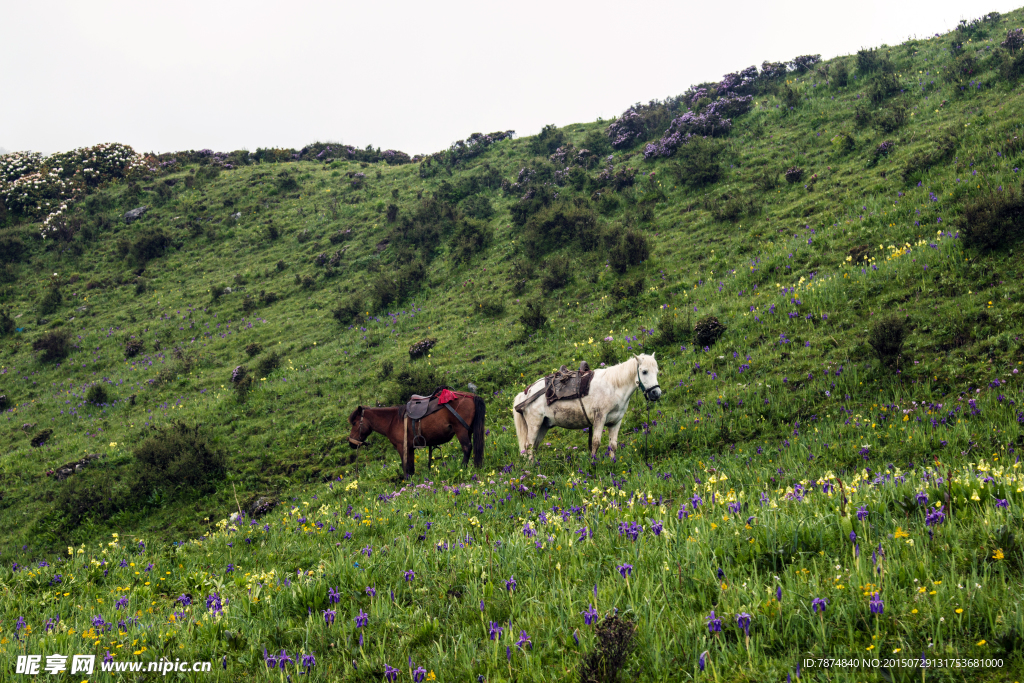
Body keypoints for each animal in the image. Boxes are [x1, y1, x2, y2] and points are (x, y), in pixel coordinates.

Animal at [346, 393, 485, 479]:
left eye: (354, 423)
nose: (351, 443)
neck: (393, 420)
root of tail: (471, 396)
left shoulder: (402, 447)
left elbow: (406, 466)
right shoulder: (410, 448)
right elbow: (411, 467)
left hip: (461, 430)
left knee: (467, 447)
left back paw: (462, 468)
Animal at [512, 356, 663, 462]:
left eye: (656, 372)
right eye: (644, 372)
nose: (656, 393)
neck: (613, 387)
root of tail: (527, 392)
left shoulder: (615, 422)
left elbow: (613, 445)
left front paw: (613, 462)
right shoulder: (599, 418)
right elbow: (596, 442)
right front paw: (593, 463)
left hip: (543, 425)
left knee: (534, 447)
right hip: (534, 424)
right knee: (528, 446)